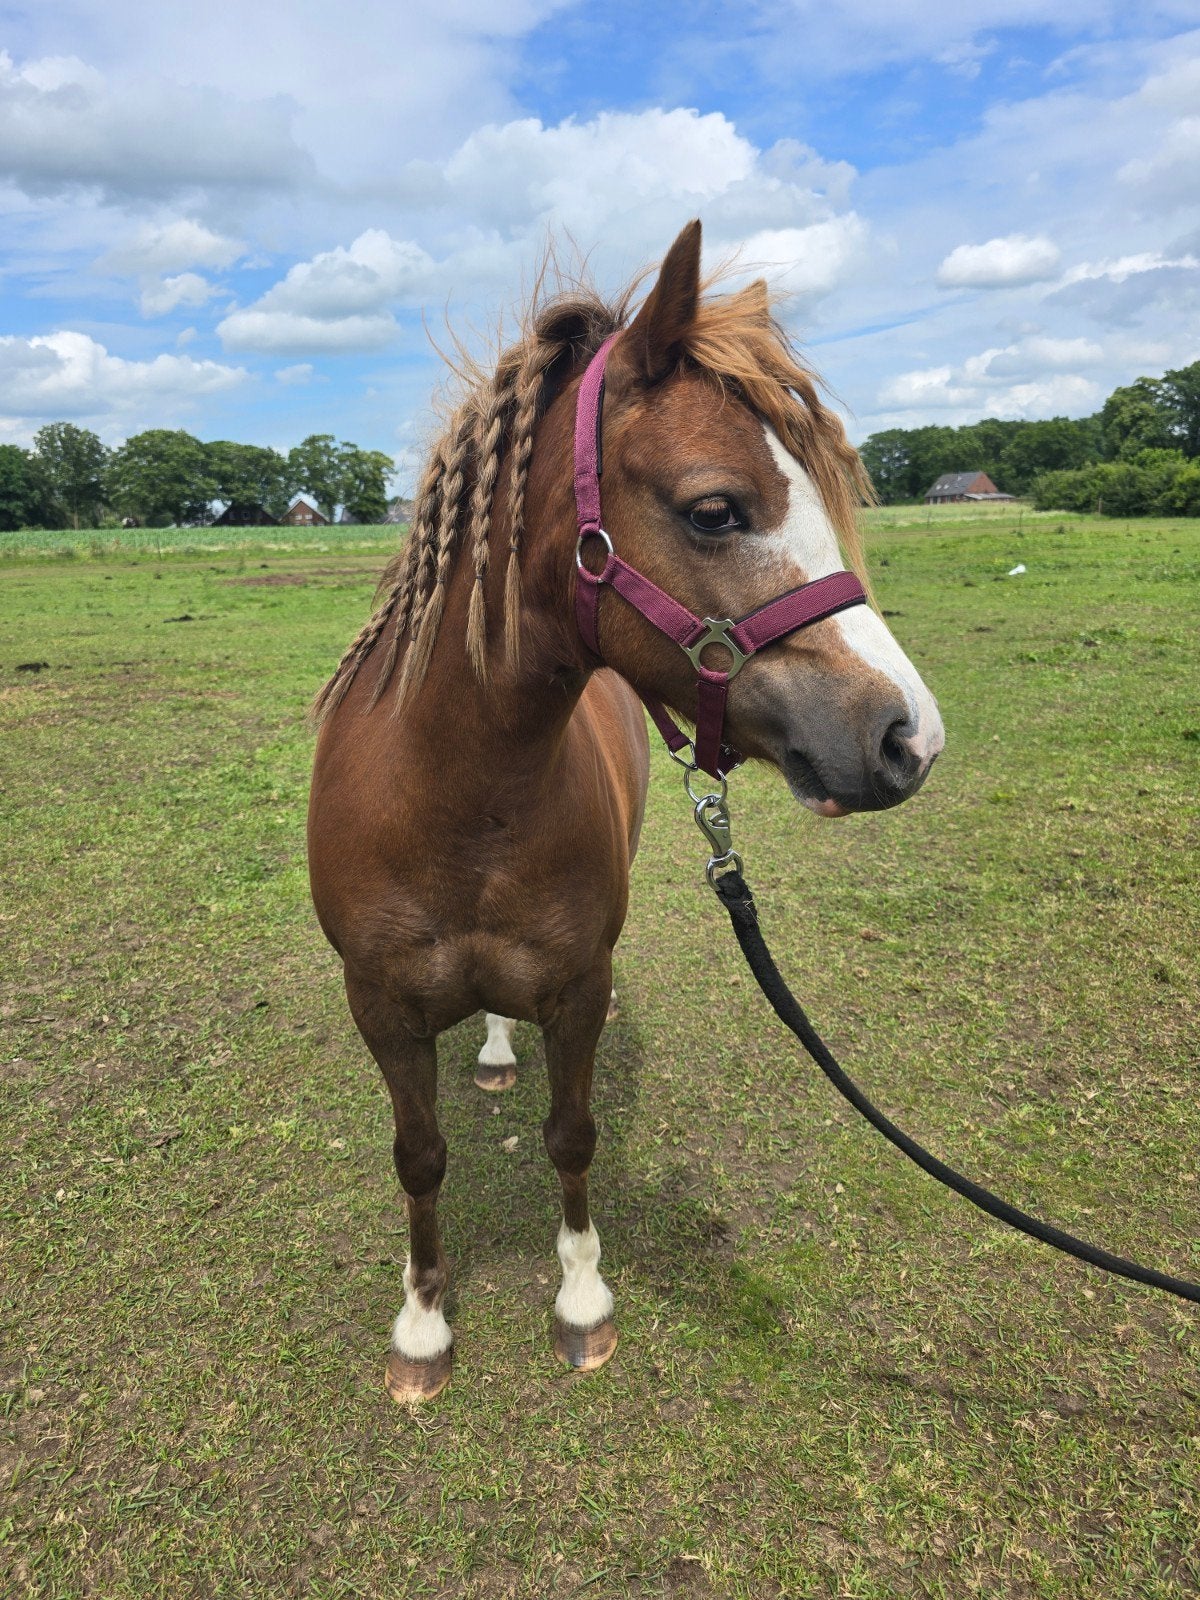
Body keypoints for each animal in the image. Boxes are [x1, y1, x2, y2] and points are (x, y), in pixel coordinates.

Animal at [307, 220, 944, 1403]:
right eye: (714, 509)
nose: (909, 737)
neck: (457, 803)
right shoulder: (380, 1006)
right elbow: (419, 1157)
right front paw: (422, 1325)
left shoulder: (579, 989)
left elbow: (572, 1137)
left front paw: (582, 1301)